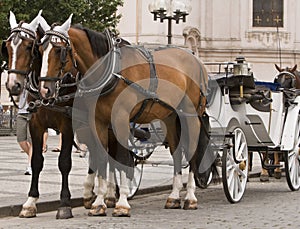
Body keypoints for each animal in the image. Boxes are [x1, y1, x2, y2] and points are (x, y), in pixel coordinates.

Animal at [3, 11, 76, 219]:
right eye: (7, 47)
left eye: (29, 47)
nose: (13, 85)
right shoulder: (35, 124)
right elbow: (36, 161)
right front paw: (30, 202)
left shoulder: (67, 125)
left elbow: (64, 162)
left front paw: (64, 203)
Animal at [37, 15, 209, 217]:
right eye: (40, 50)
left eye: (59, 50)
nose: (44, 90)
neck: (110, 72)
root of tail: (196, 58)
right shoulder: (99, 122)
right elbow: (103, 158)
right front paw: (99, 202)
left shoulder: (120, 120)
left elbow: (123, 158)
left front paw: (122, 202)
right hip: (170, 117)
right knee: (176, 152)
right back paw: (173, 197)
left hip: (191, 116)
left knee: (191, 152)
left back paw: (190, 197)